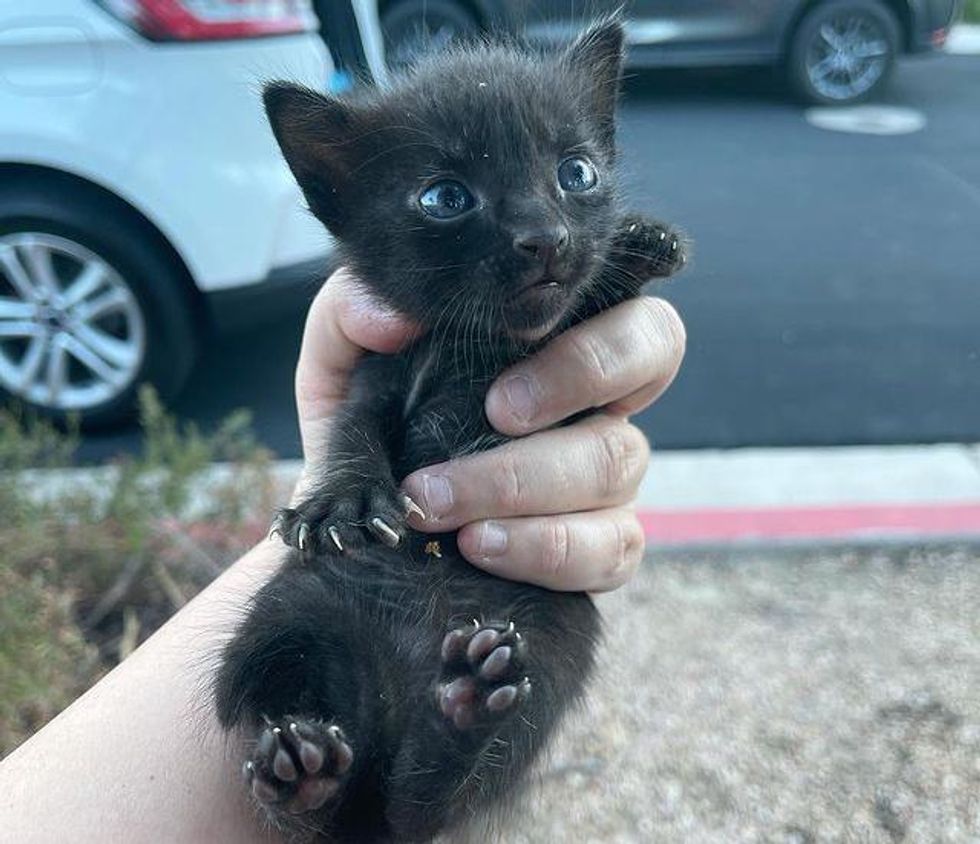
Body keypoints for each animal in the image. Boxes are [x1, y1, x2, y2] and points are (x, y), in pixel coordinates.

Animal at [215, 18, 688, 844]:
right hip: (289, 614)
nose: (545, 238)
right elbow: (351, 431)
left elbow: (582, 308)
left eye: (576, 173)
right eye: (445, 197)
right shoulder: (374, 369)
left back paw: (461, 707)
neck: (484, 345)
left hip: (553, 647)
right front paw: (341, 503)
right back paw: (303, 775)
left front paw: (634, 247)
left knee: (422, 805)